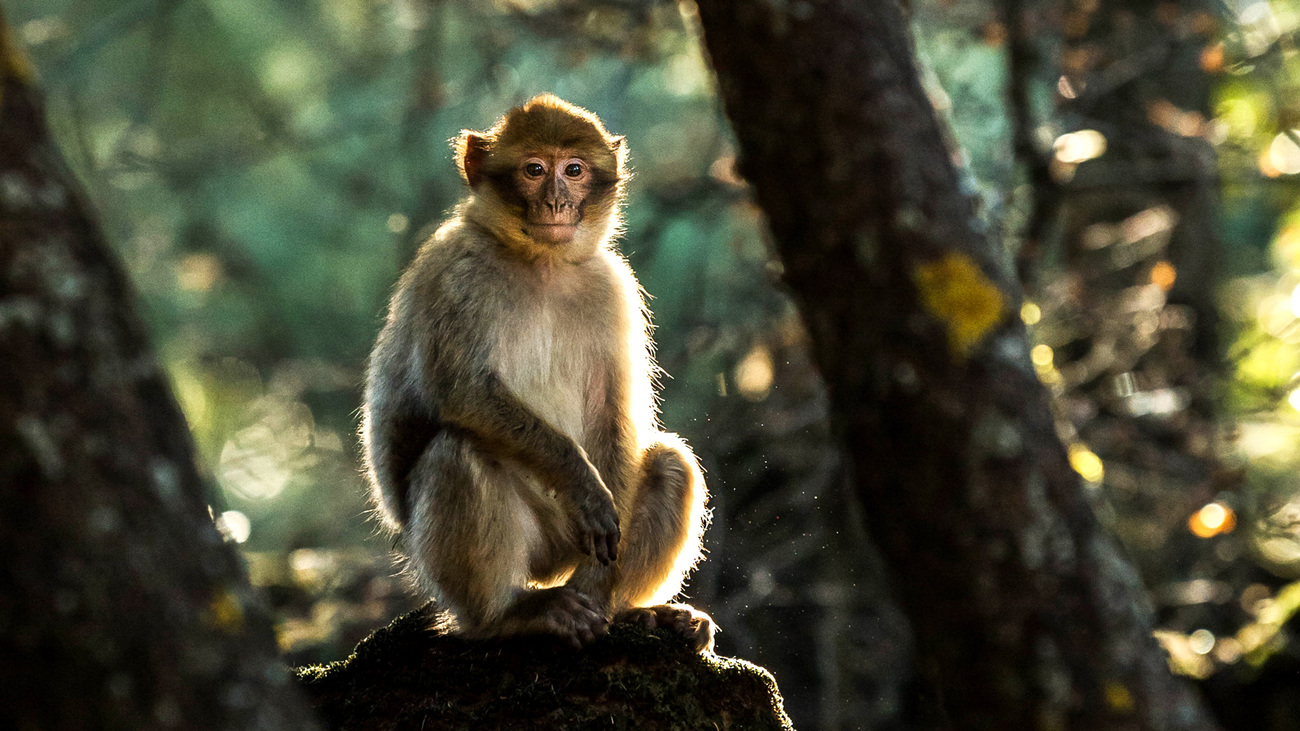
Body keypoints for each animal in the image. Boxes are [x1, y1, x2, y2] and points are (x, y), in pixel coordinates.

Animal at [360, 94, 713, 652]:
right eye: (534, 170)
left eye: (573, 170)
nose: (556, 203)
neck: (540, 263)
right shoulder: (461, 274)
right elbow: (464, 394)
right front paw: (579, 480)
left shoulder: (612, 287)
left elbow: (613, 416)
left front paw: (606, 586)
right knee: (459, 450)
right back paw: (506, 616)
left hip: (569, 550)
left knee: (668, 464)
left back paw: (631, 611)